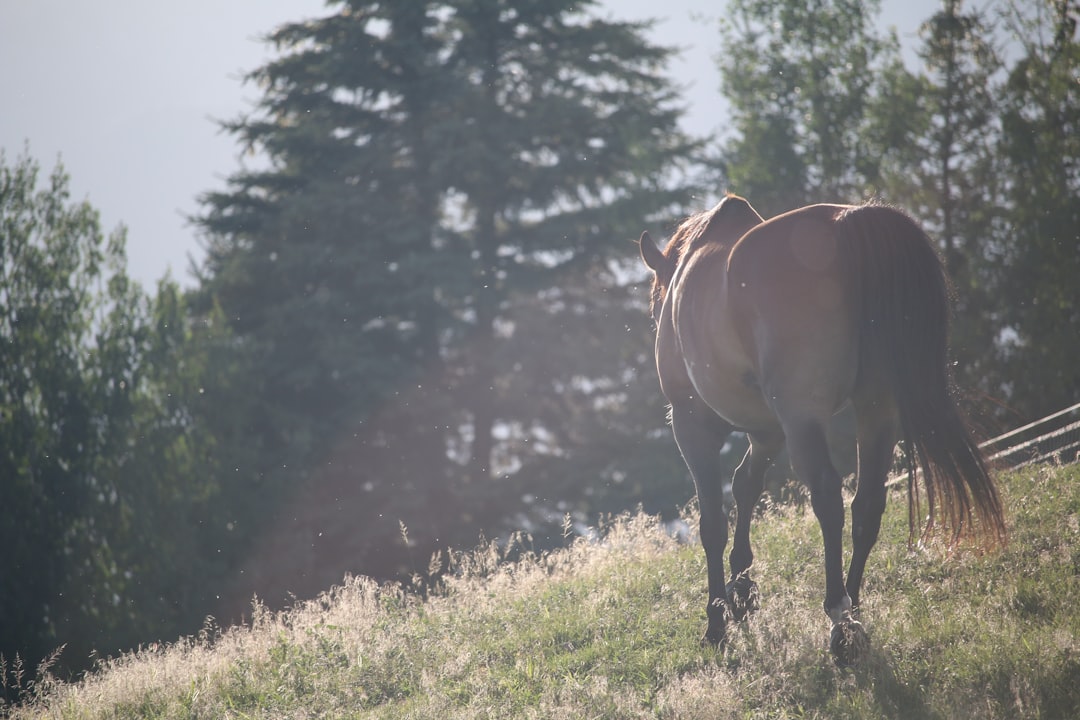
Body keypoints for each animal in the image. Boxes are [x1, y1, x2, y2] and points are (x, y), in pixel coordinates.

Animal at [639, 194, 1002, 669]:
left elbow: (712, 523)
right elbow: (745, 486)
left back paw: (839, 621)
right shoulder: (768, 430)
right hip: (877, 407)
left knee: (829, 498)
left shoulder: (693, 423)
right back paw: (855, 606)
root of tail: (850, 223)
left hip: (803, 414)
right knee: (867, 504)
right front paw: (742, 593)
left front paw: (717, 622)